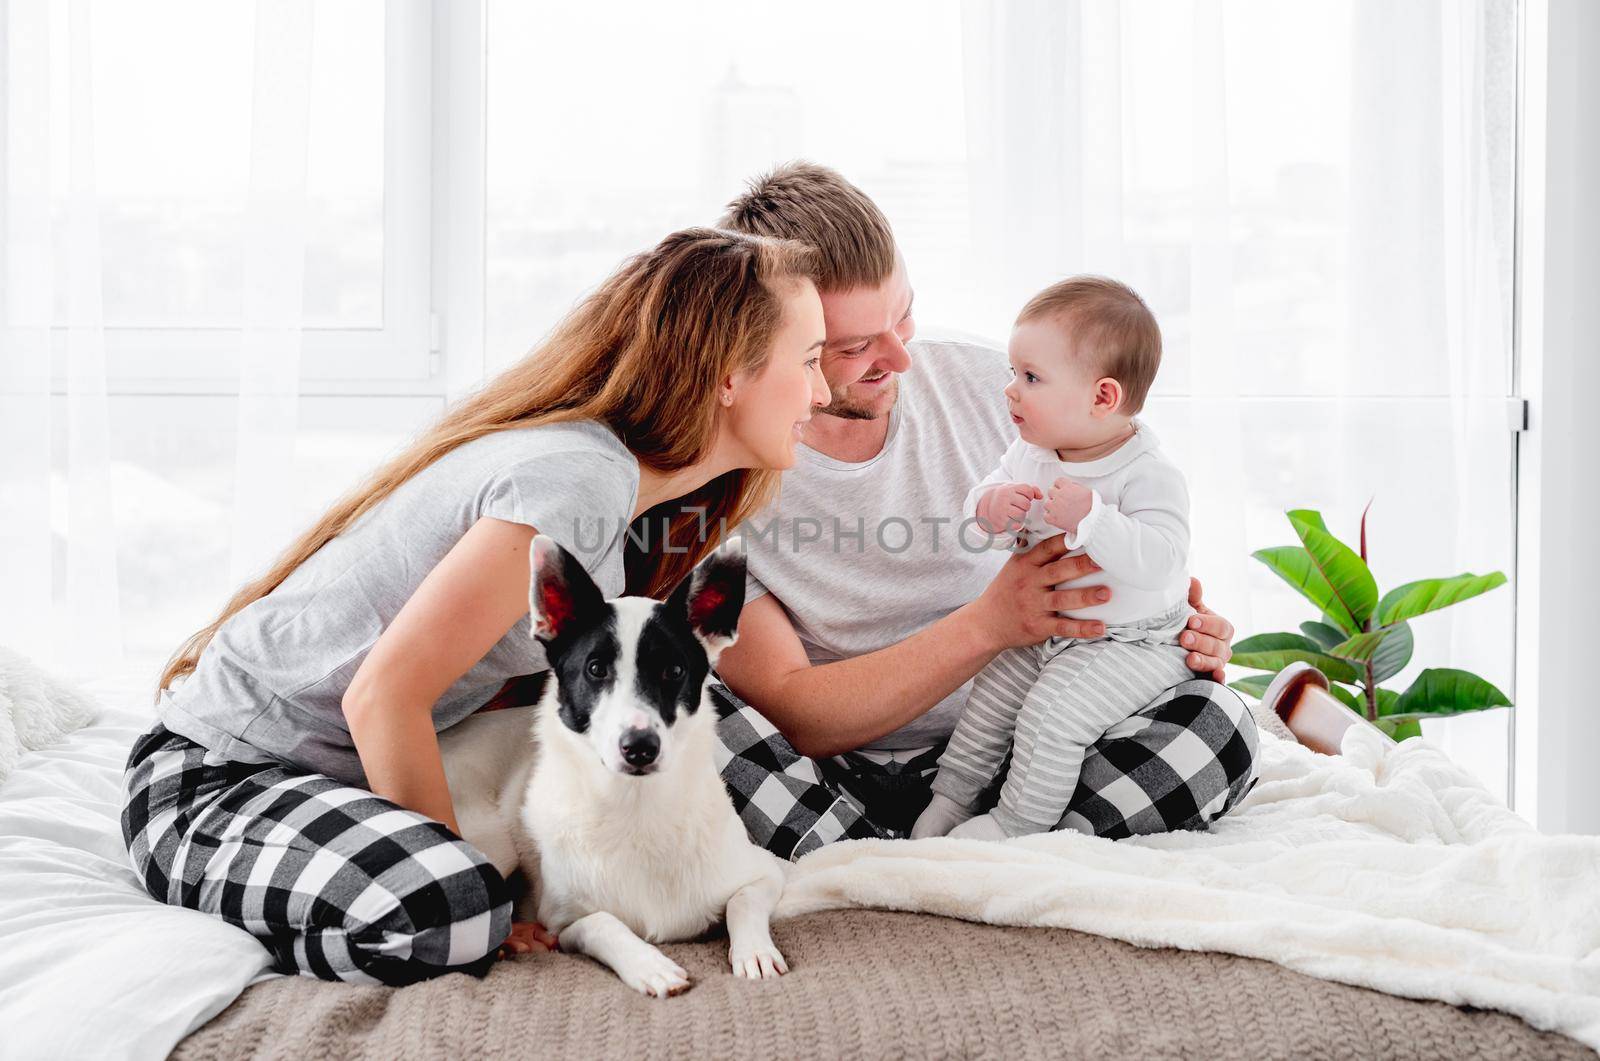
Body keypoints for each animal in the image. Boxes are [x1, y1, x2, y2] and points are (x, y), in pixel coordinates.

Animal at [438, 534, 787, 998]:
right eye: (596, 669)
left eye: (674, 670)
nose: (639, 747)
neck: (635, 810)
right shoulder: (562, 924)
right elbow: (604, 922)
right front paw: (649, 965)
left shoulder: (767, 872)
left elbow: (743, 900)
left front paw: (754, 953)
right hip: (496, 841)